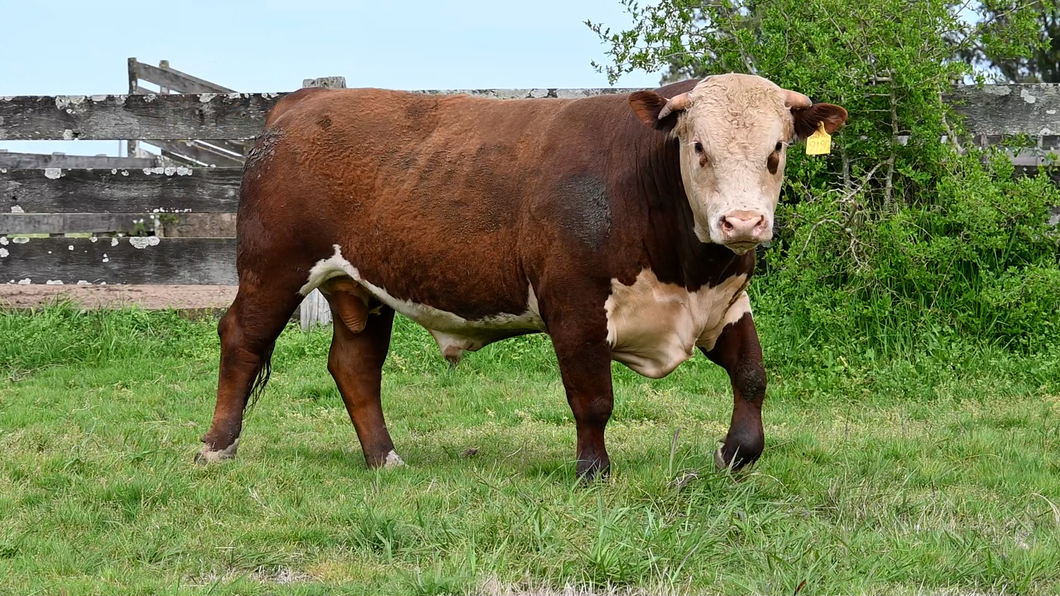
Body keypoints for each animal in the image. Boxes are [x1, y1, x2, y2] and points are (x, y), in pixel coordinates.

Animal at [197, 73, 843, 477]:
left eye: (777, 149)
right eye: (699, 146)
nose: (743, 222)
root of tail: (299, 103)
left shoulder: (724, 302)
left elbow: (752, 375)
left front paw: (735, 454)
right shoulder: (575, 306)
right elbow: (593, 398)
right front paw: (592, 473)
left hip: (361, 286)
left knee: (355, 366)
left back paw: (384, 458)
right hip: (274, 267)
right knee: (242, 339)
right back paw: (216, 449)